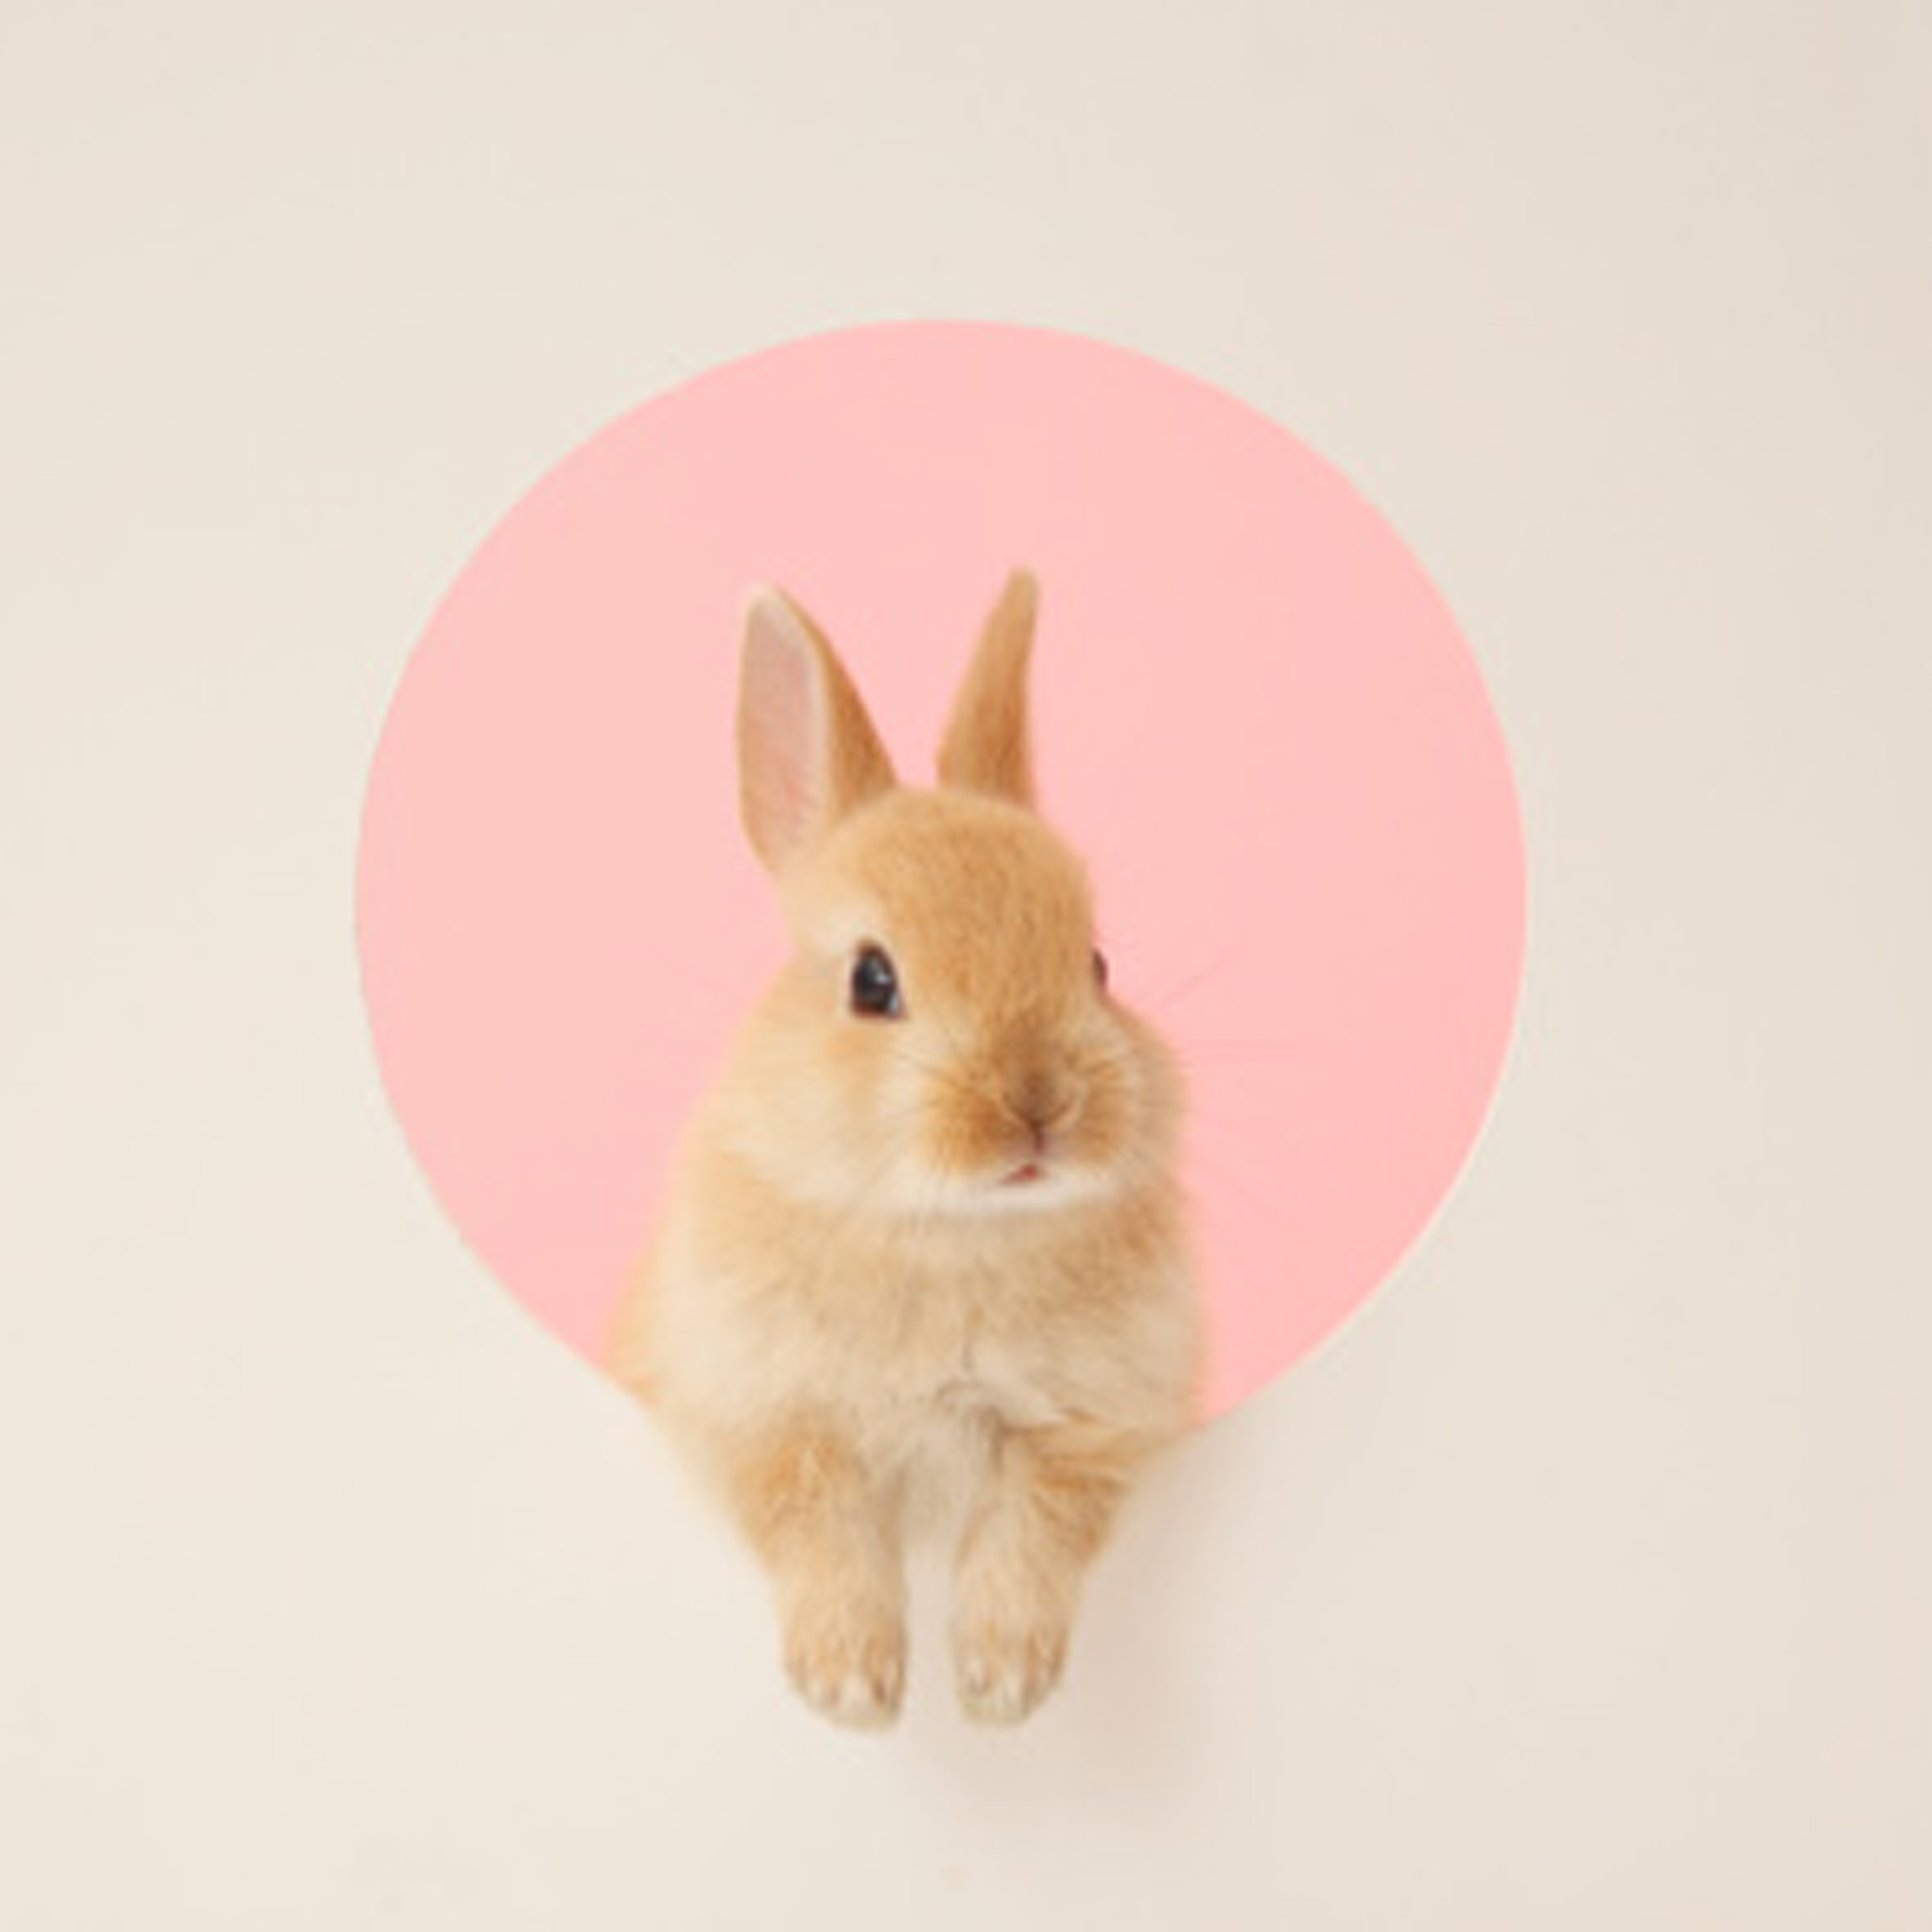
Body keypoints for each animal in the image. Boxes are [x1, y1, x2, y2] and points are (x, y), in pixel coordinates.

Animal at [608, 569, 1201, 1728]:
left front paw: (1000, 1690)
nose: (1038, 1106)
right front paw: (853, 1690)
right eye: (871, 981)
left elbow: (1035, 1529)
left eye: (1099, 964)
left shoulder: (1090, 1429)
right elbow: (818, 1525)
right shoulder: (763, 1417)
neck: (949, 1231)